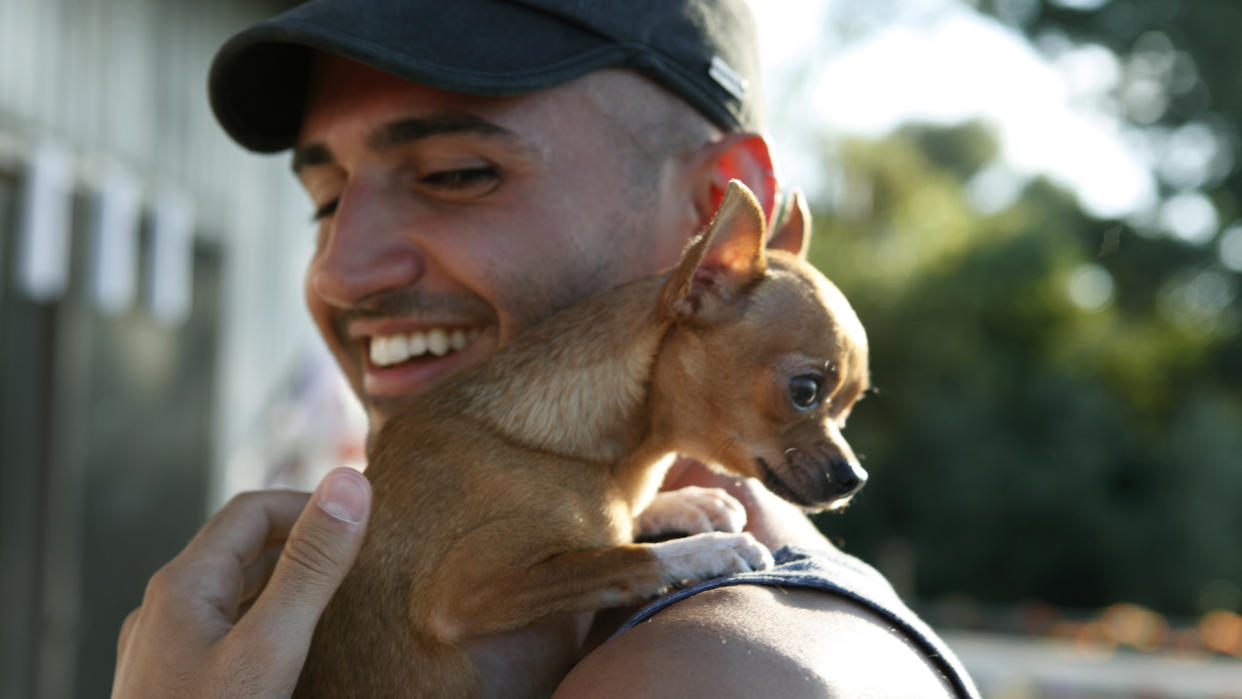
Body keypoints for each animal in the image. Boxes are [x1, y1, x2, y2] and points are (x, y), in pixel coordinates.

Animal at [294, 183, 869, 695]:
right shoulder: (460, 592)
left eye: (850, 407)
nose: (855, 477)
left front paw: (688, 503)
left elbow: (618, 534)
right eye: (805, 391)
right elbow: (620, 558)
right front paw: (707, 551)